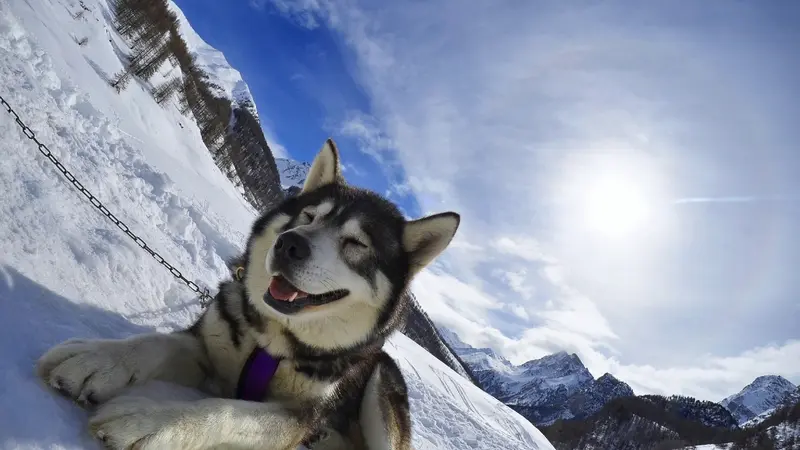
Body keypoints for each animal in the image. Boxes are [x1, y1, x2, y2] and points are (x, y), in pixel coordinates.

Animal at [37, 139, 460, 448]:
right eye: (309, 217)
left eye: (356, 243)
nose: (290, 244)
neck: (272, 343)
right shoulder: (208, 348)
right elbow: (154, 343)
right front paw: (99, 359)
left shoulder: (298, 416)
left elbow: (222, 410)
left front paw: (150, 420)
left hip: (381, 388)